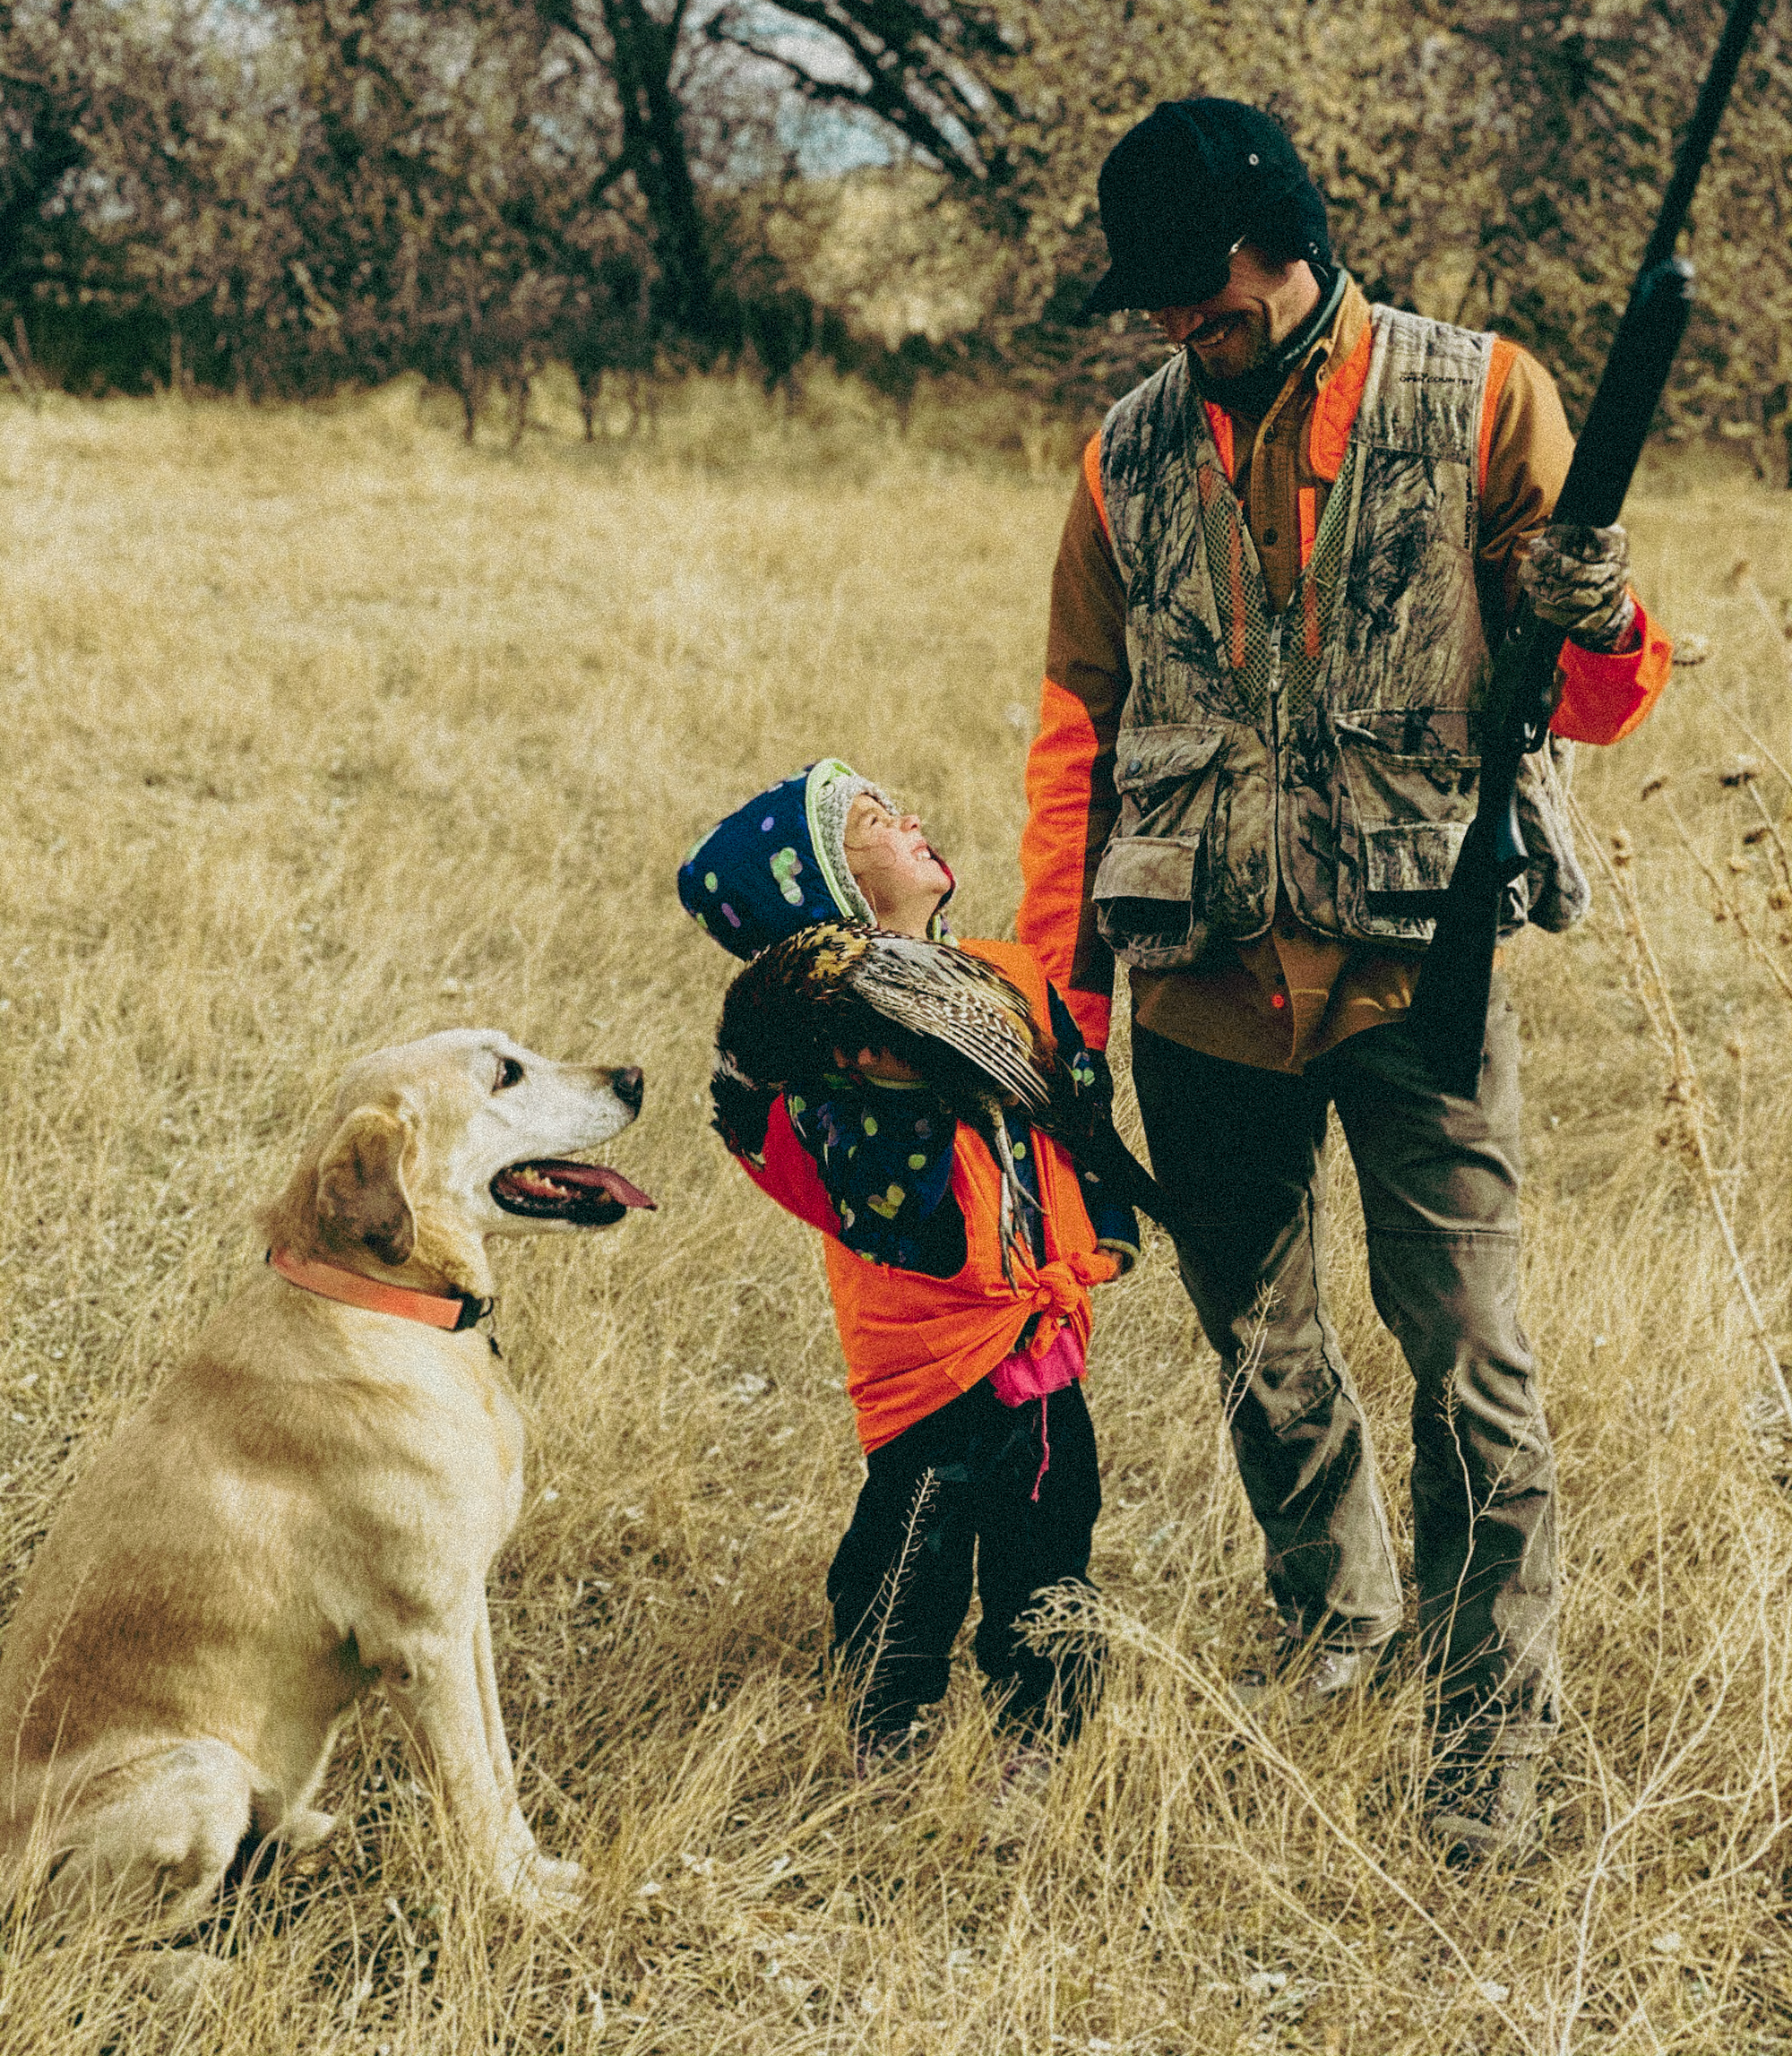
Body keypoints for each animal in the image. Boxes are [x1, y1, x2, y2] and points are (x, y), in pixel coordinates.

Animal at [0, 1036, 654, 1932]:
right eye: (505, 1073)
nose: (637, 1078)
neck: (381, 1301)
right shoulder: (422, 1640)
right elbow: (474, 1790)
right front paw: (522, 1909)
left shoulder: (466, 1615)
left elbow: (498, 1769)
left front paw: (540, 1876)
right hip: (199, 1769)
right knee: (87, 1947)